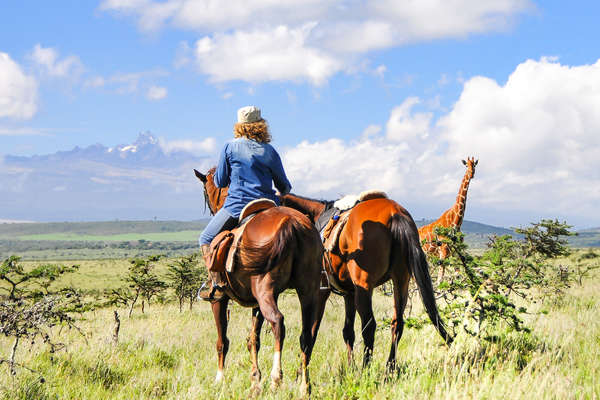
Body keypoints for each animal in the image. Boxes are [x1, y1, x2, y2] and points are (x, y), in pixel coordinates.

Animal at [195, 166, 324, 394]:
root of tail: (291, 224)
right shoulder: (255, 303)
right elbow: (253, 339)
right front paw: (255, 380)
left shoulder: (219, 299)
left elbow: (222, 340)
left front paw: (219, 379)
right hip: (307, 290)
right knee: (306, 334)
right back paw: (304, 386)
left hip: (266, 291)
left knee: (278, 322)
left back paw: (276, 378)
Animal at [278, 192, 452, 368]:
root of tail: (395, 213)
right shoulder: (349, 293)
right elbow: (347, 331)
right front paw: (350, 366)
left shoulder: (322, 290)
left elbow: (311, 332)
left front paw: (302, 369)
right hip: (401, 280)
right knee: (397, 323)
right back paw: (389, 367)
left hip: (364, 286)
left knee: (369, 326)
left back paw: (366, 368)